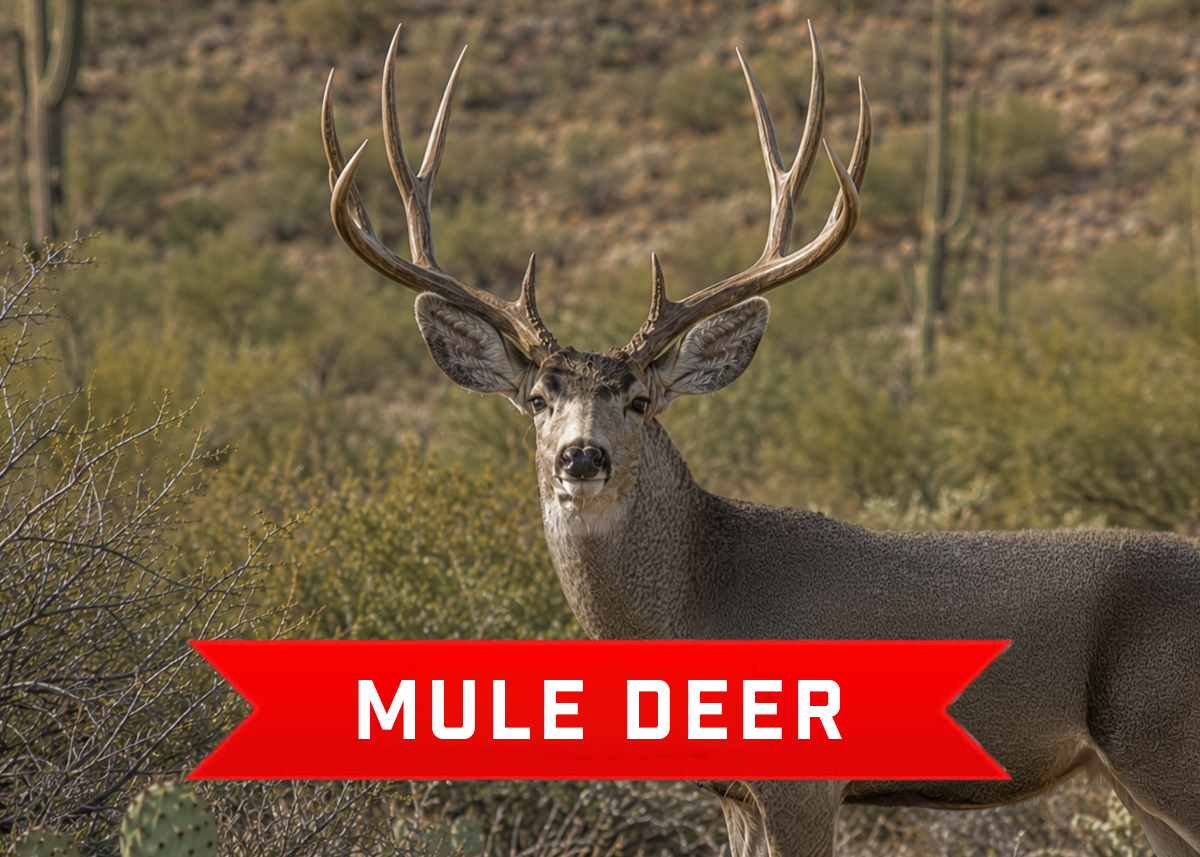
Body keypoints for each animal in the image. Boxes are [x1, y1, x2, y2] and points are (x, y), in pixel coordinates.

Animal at [320, 23, 1200, 857]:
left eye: (640, 399)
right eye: (537, 398)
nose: (583, 456)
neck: (700, 604)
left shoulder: (803, 782)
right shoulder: (734, 793)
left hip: (1165, 746)